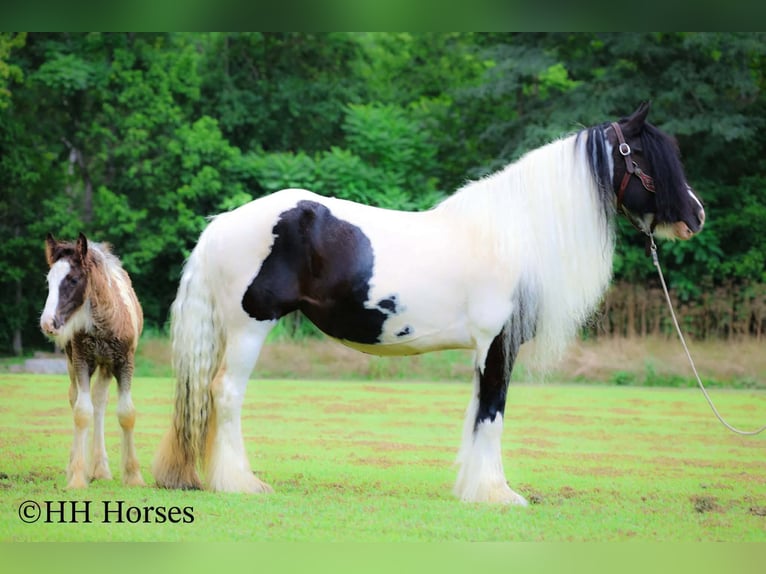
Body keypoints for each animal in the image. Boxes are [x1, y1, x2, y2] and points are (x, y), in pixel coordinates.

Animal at [40, 233, 145, 489]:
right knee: (77, 398)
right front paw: (77, 476)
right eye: (49, 281)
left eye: (73, 279)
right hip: (73, 362)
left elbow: (126, 413)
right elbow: (81, 412)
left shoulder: (124, 363)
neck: (105, 321)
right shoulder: (82, 361)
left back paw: (101, 469)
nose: (48, 323)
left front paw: (134, 476)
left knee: (99, 401)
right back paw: (81, 466)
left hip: (105, 365)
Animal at [152, 102, 705, 504]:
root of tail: (223, 223)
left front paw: (474, 489)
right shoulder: (498, 346)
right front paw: (497, 495)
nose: (695, 216)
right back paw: (242, 483)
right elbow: (493, 413)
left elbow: (479, 413)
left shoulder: (485, 350)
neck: (513, 236)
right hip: (250, 326)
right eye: (647, 158)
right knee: (225, 394)